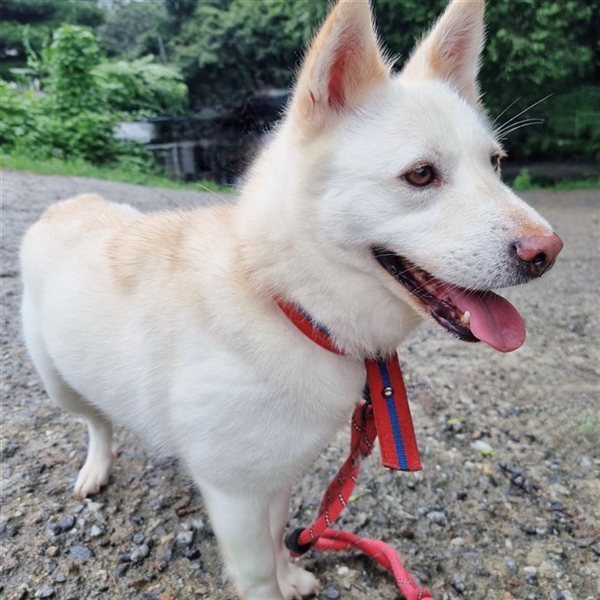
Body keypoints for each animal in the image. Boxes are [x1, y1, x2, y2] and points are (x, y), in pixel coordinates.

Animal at [21, 0, 563, 598]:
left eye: (495, 163)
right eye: (421, 174)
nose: (547, 251)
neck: (287, 305)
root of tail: (70, 202)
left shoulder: (277, 476)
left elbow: (280, 534)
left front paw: (292, 574)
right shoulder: (234, 495)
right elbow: (257, 573)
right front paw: (273, 583)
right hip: (58, 382)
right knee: (95, 421)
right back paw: (96, 466)